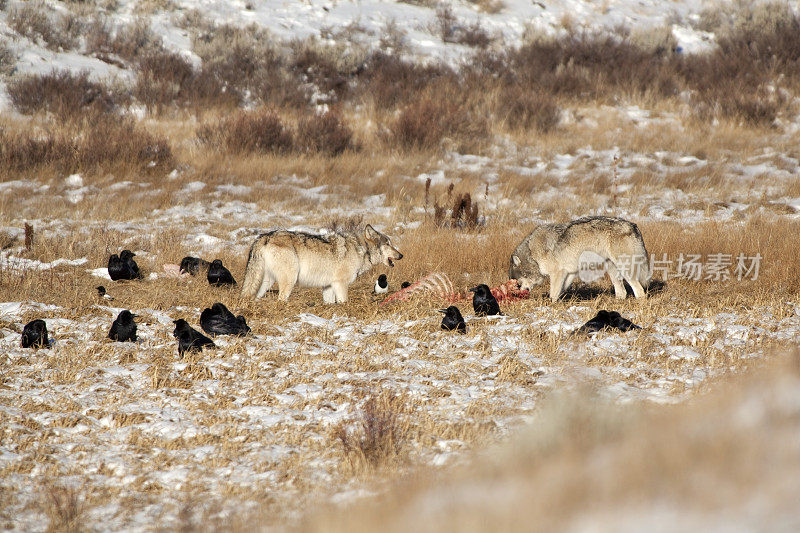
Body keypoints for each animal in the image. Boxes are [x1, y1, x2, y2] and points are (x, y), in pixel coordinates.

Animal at [241, 222, 404, 302]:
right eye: (388, 244)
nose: (401, 255)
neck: (362, 250)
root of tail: (263, 237)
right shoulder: (340, 284)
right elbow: (344, 301)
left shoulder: (329, 286)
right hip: (289, 279)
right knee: (281, 299)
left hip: (265, 282)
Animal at [510, 215, 652, 300]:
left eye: (518, 283)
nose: (520, 293)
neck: (533, 255)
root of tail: (633, 226)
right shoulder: (569, 272)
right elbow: (561, 290)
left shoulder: (557, 273)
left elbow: (553, 293)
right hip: (612, 268)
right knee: (622, 292)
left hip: (624, 268)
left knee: (640, 291)